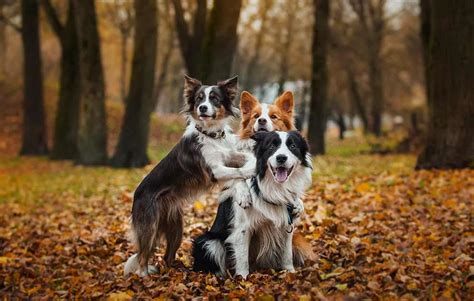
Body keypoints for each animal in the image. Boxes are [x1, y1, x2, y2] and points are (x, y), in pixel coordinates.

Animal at [191, 131, 312, 276]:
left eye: (293, 146)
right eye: (271, 146)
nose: (281, 158)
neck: (274, 188)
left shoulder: (287, 225)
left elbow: (287, 254)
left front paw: (290, 273)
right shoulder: (242, 228)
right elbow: (242, 258)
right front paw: (242, 278)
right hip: (208, 241)